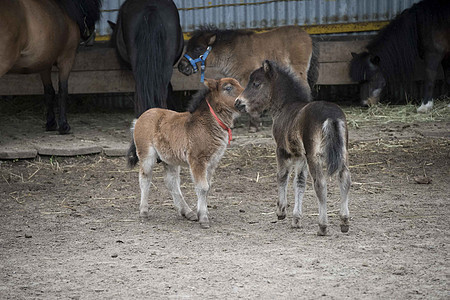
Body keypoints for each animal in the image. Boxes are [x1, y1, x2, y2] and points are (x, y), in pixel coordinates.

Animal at [0, 0, 102, 134]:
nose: (90, 35)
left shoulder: (44, 63)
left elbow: (49, 91)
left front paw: (51, 123)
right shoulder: (67, 59)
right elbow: (63, 90)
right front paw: (64, 125)